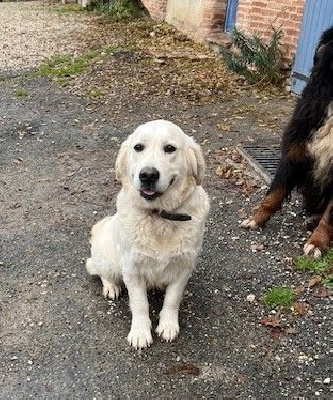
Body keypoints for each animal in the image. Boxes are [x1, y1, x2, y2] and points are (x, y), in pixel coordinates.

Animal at [85, 120, 208, 348]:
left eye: (170, 148)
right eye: (138, 147)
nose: (148, 175)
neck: (159, 217)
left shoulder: (183, 266)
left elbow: (172, 300)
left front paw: (168, 326)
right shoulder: (132, 268)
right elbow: (140, 304)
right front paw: (140, 333)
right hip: (110, 260)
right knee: (95, 268)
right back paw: (111, 286)